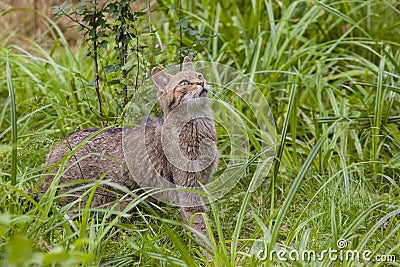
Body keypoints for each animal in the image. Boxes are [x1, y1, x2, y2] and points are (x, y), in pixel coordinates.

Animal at [39, 56, 219, 255]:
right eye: (184, 83)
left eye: (199, 75)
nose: (202, 82)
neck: (198, 128)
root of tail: (56, 149)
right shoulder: (187, 187)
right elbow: (200, 224)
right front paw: (211, 253)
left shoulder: (199, 184)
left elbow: (191, 222)